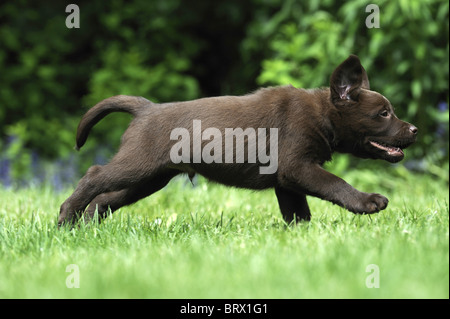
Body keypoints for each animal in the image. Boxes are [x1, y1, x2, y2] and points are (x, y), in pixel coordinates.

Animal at [58, 54, 416, 225]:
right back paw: (66, 218)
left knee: (106, 199)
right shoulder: (298, 166)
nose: (414, 130)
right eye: (384, 113)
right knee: (95, 176)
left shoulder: (287, 180)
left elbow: (298, 212)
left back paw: (87, 226)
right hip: (139, 164)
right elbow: (335, 183)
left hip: (151, 178)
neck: (323, 114)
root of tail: (146, 108)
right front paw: (367, 202)